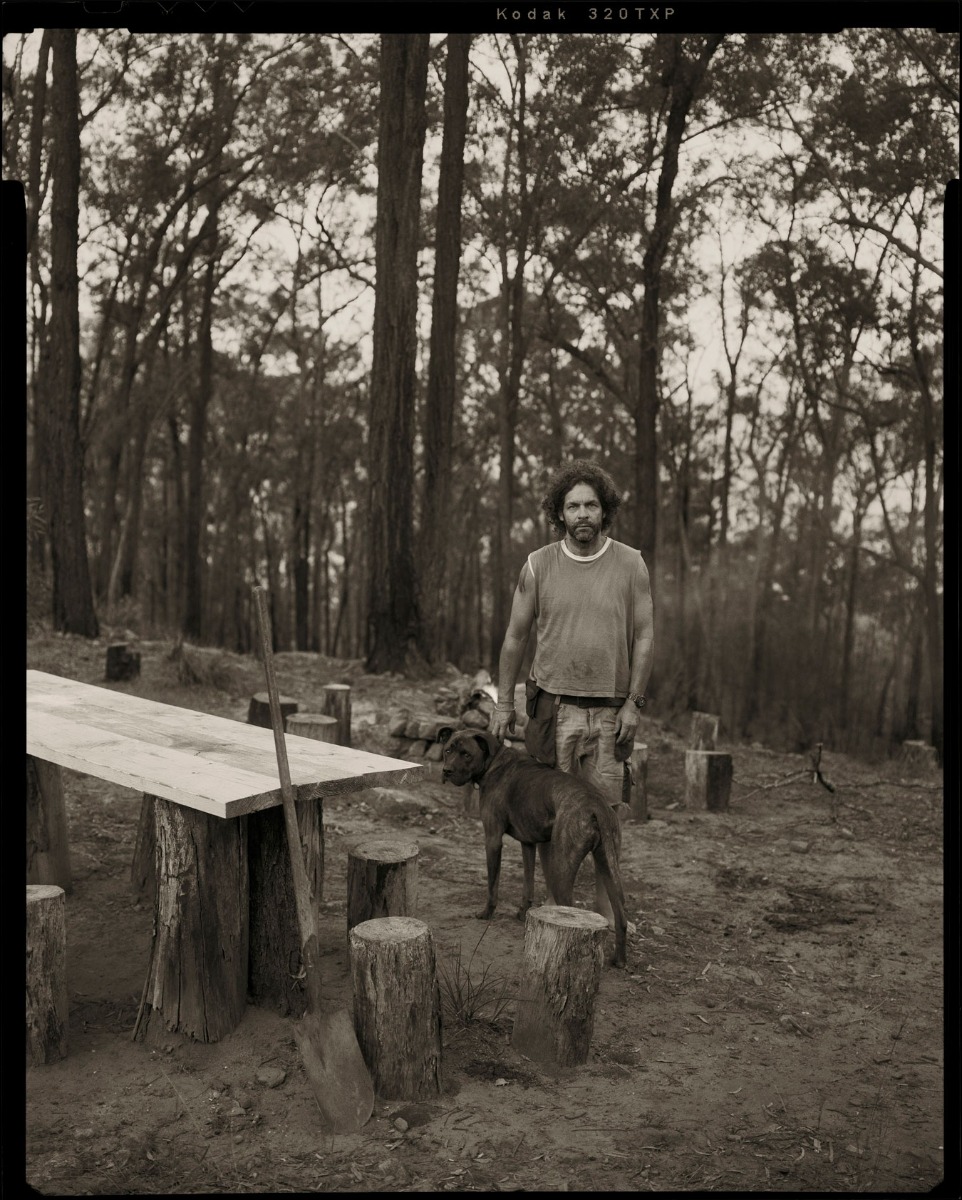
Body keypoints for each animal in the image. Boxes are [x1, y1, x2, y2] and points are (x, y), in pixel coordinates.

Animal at [439, 720, 623, 964]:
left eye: (466, 754)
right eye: (448, 750)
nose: (446, 771)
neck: (494, 762)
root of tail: (596, 805)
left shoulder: (492, 839)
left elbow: (492, 884)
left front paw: (487, 913)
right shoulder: (528, 844)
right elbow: (528, 882)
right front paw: (522, 912)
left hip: (562, 867)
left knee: (571, 909)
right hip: (609, 865)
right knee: (621, 914)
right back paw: (620, 960)